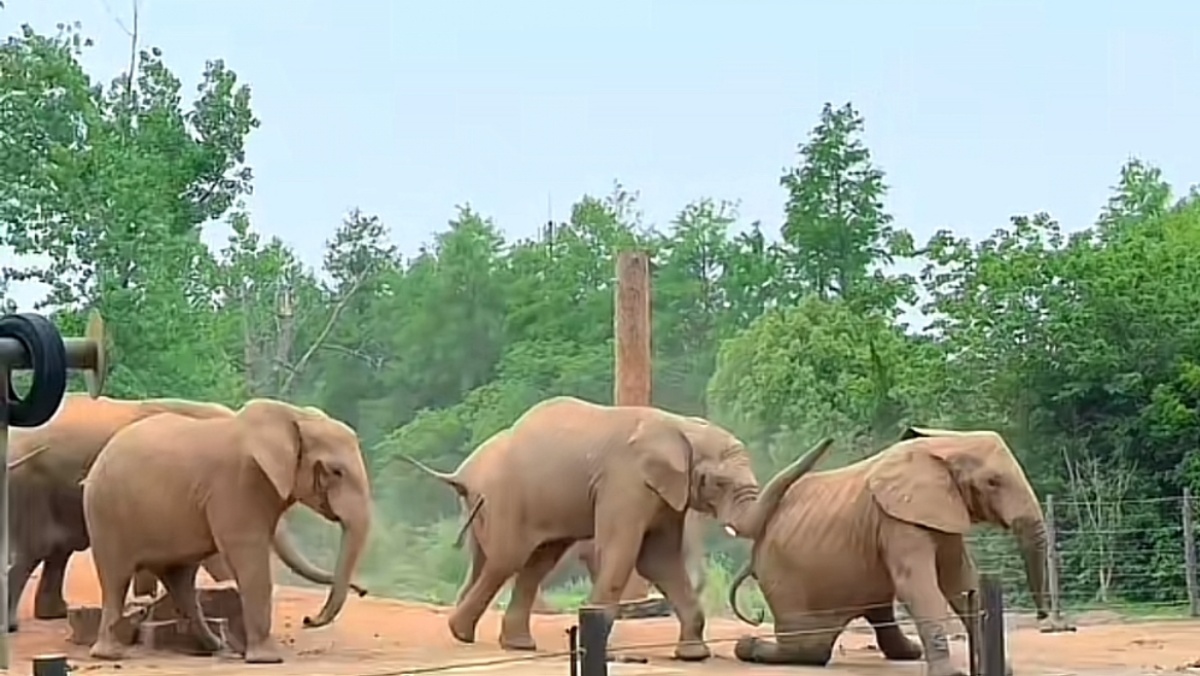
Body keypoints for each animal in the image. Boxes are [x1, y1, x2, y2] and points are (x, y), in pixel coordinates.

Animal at [81, 399, 373, 663]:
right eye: (336, 472)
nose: (308, 619)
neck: (293, 415)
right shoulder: (236, 484)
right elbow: (249, 556)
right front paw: (267, 660)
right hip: (105, 512)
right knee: (116, 577)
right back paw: (109, 654)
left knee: (180, 579)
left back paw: (216, 647)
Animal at [401, 396, 833, 660]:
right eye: (718, 483)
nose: (757, 615)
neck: (680, 426)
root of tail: (463, 473)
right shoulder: (626, 482)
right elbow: (624, 552)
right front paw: (604, 653)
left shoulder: (664, 494)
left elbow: (659, 560)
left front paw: (693, 656)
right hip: (506, 497)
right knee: (509, 558)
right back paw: (463, 634)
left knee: (535, 561)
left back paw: (514, 645)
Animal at [727, 427, 1048, 676]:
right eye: (993, 482)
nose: (1043, 616)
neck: (944, 445)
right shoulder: (896, 519)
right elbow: (920, 585)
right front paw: (950, 674)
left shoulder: (941, 512)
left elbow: (960, 581)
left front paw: (1002, 669)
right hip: (783, 578)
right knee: (810, 648)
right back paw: (748, 646)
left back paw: (910, 651)